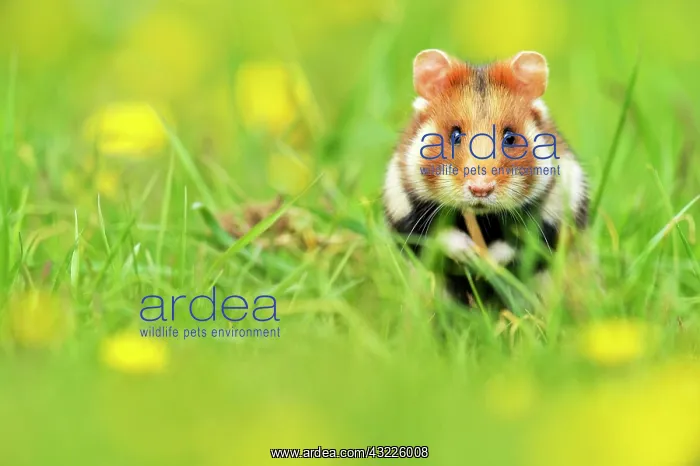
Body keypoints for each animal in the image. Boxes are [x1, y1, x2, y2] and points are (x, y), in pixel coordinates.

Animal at [383, 49, 589, 306]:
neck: (484, 220)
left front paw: (487, 264)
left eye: (510, 137)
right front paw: (471, 255)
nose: (480, 189)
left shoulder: (555, 215)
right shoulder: (406, 211)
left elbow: (518, 244)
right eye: (455, 135)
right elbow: (439, 236)